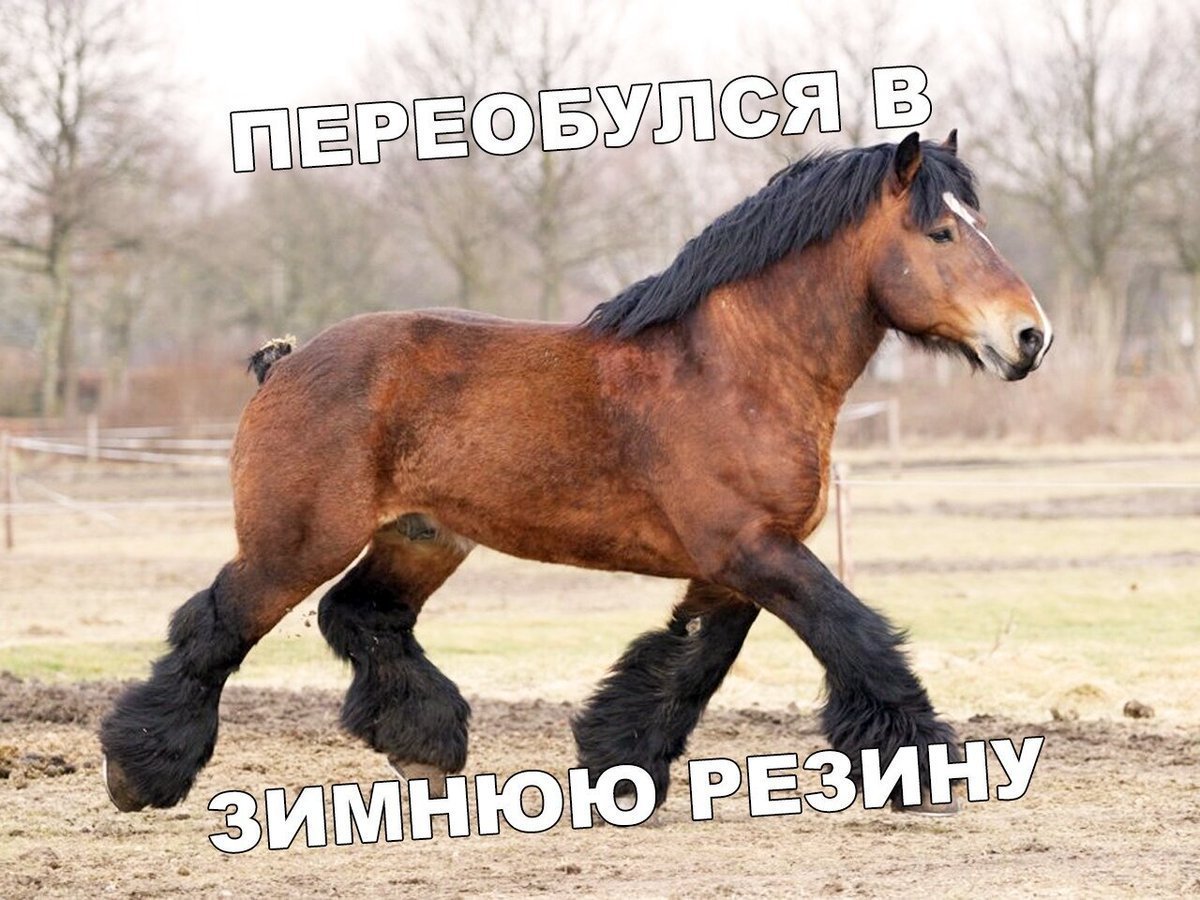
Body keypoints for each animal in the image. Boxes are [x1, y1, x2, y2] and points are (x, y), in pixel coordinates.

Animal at [100, 131, 1052, 816]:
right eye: (941, 232)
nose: (1030, 336)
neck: (737, 369)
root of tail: (285, 364)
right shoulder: (754, 550)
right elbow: (857, 639)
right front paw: (922, 769)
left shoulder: (734, 565)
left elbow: (686, 664)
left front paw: (617, 767)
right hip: (295, 543)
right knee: (216, 627)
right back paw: (141, 772)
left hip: (422, 537)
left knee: (362, 615)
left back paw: (424, 745)